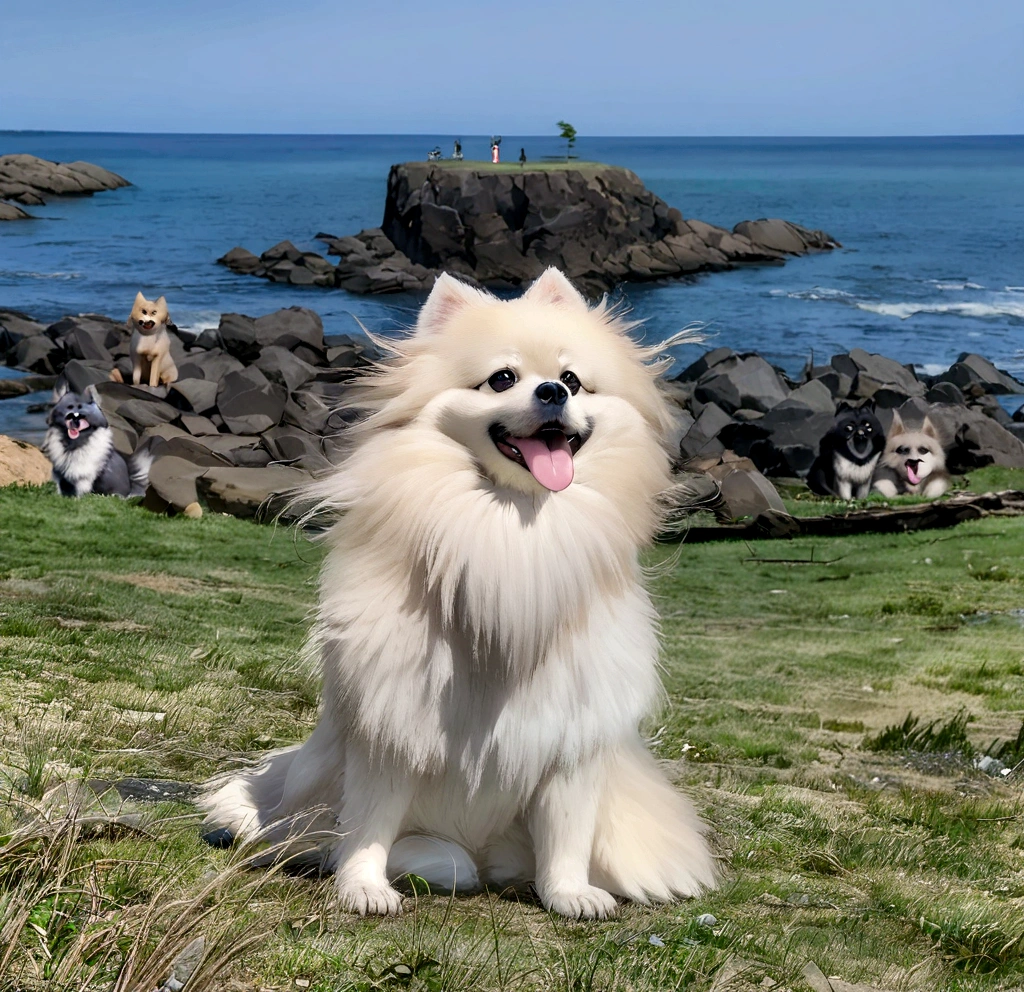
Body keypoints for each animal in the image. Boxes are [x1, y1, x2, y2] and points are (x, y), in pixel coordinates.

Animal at [197, 268, 712, 921]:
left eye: (573, 379)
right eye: (503, 378)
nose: (552, 391)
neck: (514, 532)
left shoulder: (573, 739)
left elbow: (566, 832)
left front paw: (569, 892)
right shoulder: (389, 725)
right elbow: (370, 823)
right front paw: (363, 886)